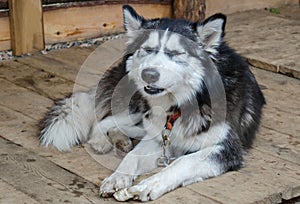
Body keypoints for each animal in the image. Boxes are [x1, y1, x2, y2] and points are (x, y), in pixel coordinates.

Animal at [39, 5, 264, 202]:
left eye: (176, 53)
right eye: (147, 49)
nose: (148, 74)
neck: (181, 105)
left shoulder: (226, 148)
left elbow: (182, 162)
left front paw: (147, 186)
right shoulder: (159, 139)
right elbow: (132, 156)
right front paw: (117, 177)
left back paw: (120, 139)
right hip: (136, 107)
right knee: (103, 121)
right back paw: (103, 141)